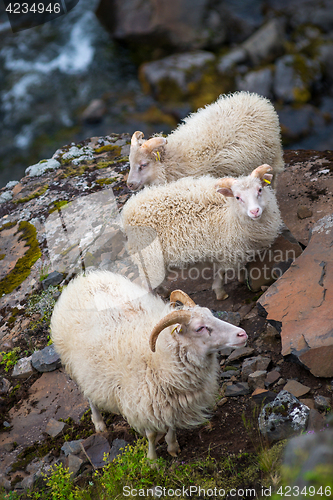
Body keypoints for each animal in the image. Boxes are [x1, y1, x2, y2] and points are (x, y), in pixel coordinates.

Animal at [50, 272, 246, 458]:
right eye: (200, 328)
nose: (242, 334)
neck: (159, 357)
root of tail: (84, 278)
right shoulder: (145, 404)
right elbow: (151, 435)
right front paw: (152, 460)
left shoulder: (172, 403)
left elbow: (171, 425)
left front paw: (172, 447)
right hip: (76, 366)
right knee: (89, 396)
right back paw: (99, 423)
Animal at [120, 164, 282, 298]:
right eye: (237, 197)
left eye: (260, 190)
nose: (255, 211)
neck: (230, 212)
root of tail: (127, 212)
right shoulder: (225, 250)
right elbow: (221, 272)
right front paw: (220, 292)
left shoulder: (238, 249)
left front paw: (242, 278)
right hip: (149, 257)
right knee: (147, 285)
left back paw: (164, 292)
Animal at [127, 91, 282, 190]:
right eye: (130, 163)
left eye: (144, 164)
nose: (129, 184)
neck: (175, 159)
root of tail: (255, 97)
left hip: (272, 153)